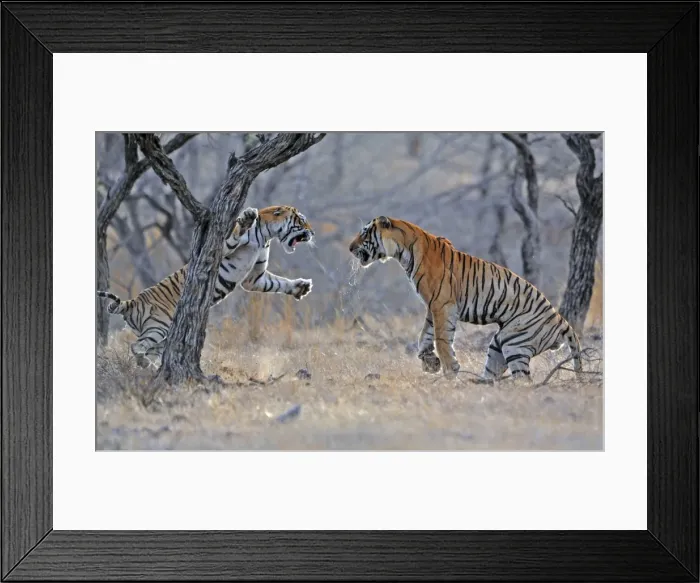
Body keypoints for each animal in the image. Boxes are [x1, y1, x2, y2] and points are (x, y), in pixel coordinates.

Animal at [97, 205, 315, 367]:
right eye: (301, 220)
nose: (312, 232)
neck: (266, 237)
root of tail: (132, 302)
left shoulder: (255, 278)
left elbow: (277, 282)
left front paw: (301, 287)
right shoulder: (221, 248)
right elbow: (236, 234)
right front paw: (247, 217)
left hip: (159, 333)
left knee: (148, 349)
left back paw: (150, 367)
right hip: (158, 325)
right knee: (137, 346)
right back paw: (146, 364)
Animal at [348, 215, 582, 381]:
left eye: (364, 233)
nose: (350, 248)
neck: (403, 251)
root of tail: (563, 321)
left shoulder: (442, 304)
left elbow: (441, 338)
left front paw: (449, 371)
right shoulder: (433, 305)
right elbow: (425, 336)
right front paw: (430, 362)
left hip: (515, 343)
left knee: (523, 382)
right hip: (500, 343)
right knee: (494, 373)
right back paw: (477, 384)